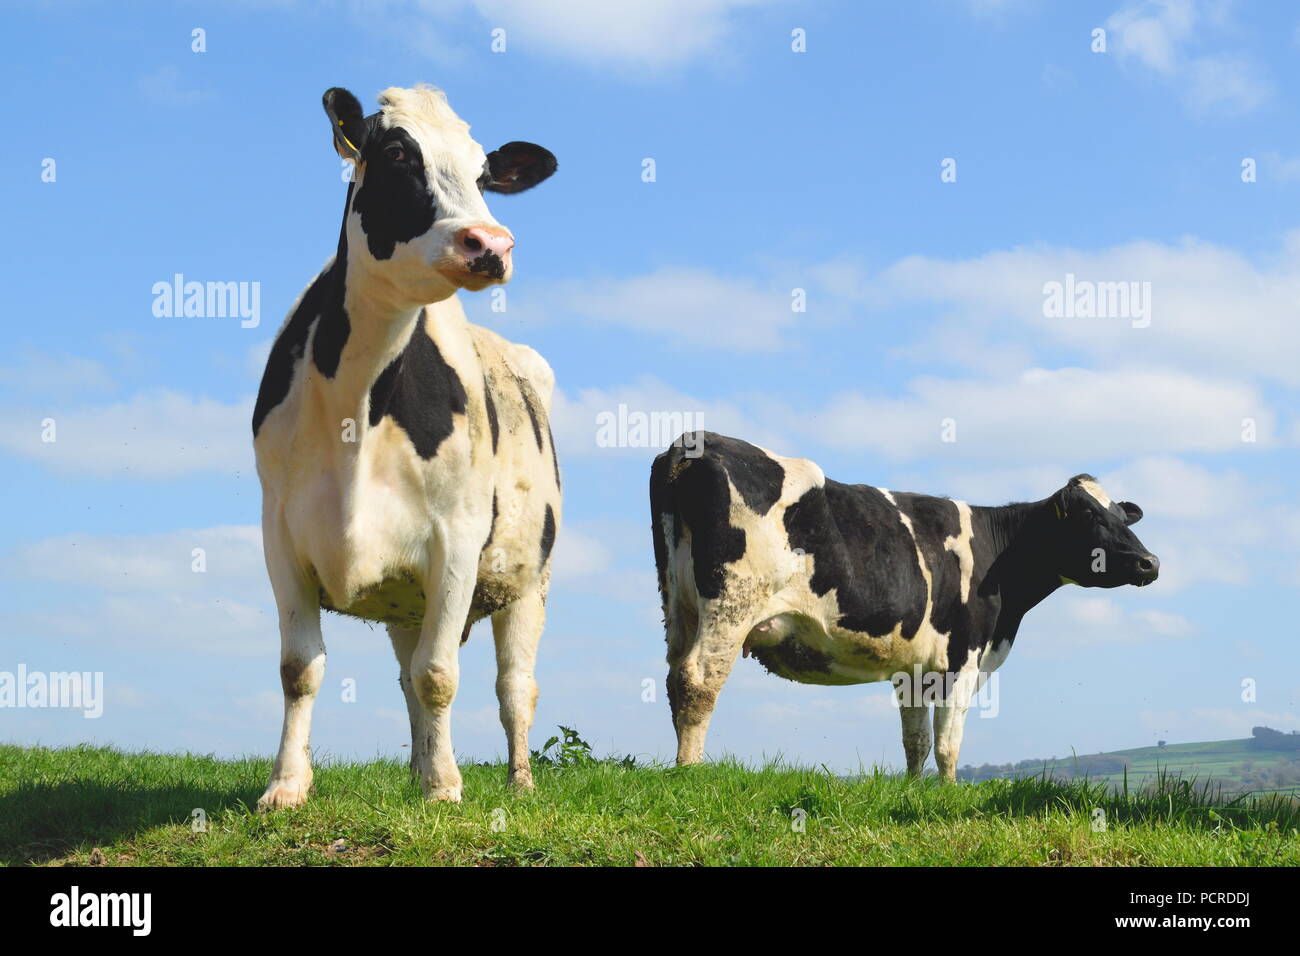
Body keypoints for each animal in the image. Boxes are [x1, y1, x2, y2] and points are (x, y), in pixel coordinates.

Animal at [252, 85, 559, 808]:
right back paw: (420, 768)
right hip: (405, 600)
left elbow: (439, 676)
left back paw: (517, 782)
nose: (490, 242)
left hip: (530, 582)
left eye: (485, 175)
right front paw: (286, 785)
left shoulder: (457, 538)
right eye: (396, 153)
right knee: (408, 674)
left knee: (514, 688)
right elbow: (299, 668)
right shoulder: (279, 530)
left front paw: (447, 788)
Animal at [650, 432, 1159, 781]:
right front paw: (948, 793)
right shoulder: (963, 657)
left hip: (679, 605)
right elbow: (948, 742)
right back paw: (690, 770)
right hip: (732, 603)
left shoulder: (913, 668)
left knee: (675, 676)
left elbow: (915, 740)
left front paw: (912, 789)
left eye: (1123, 516)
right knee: (699, 679)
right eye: (1090, 515)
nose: (1150, 563)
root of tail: (697, 440)